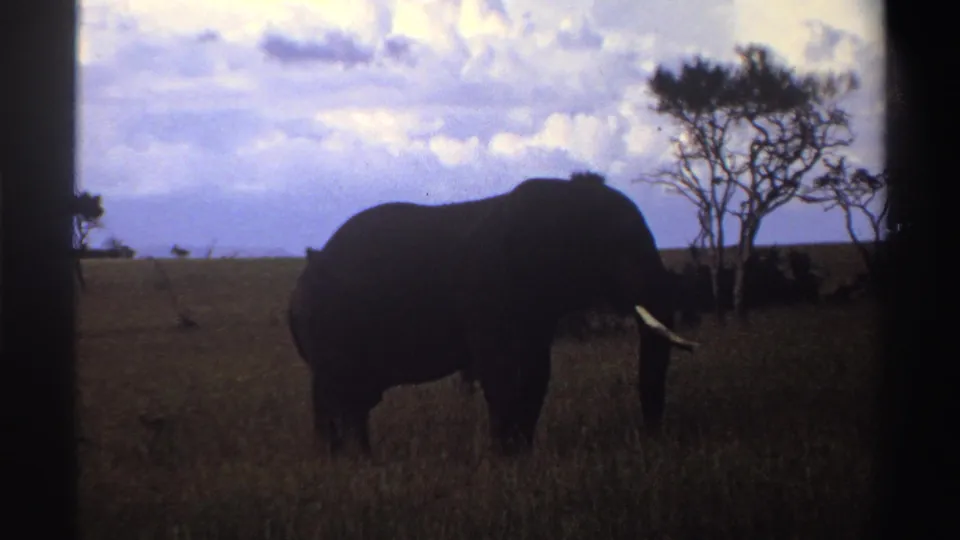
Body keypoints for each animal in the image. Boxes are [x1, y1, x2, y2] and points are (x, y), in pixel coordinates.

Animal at [287, 172, 698, 457]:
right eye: (617, 249)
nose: (653, 441)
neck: (562, 198)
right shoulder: (490, 290)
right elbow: (502, 372)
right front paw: (506, 459)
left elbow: (536, 373)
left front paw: (522, 457)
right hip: (330, 326)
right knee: (341, 396)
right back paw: (352, 464)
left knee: (348, 399)